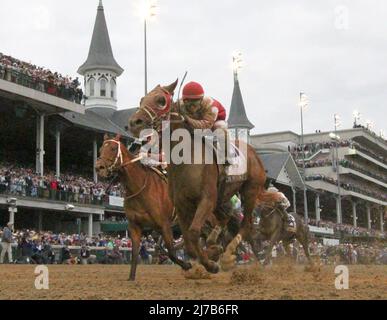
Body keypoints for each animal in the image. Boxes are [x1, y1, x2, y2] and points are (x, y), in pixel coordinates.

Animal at [94, 134, 191, 278]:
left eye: (113, 148)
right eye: (100, 149)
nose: (98, 167)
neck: (139, 188)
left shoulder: (164, 224)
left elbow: (171, 252)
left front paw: (186, 265)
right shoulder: (135, 225)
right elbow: (135, 253)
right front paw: (131, 278)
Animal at [129, 80, 278, 272]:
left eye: (161, 100)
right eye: (142, 100)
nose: (134, 122)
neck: (186, 158)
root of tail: (254, 153)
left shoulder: (206, 199)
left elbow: (193, 233)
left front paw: (210, 263)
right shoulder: (182, 206)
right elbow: (187, 241)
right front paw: (206, 257)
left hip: (250, 191)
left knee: (246, 226)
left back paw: (229, 255)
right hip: (221, 198)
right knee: (225, 219)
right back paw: (217, 244)